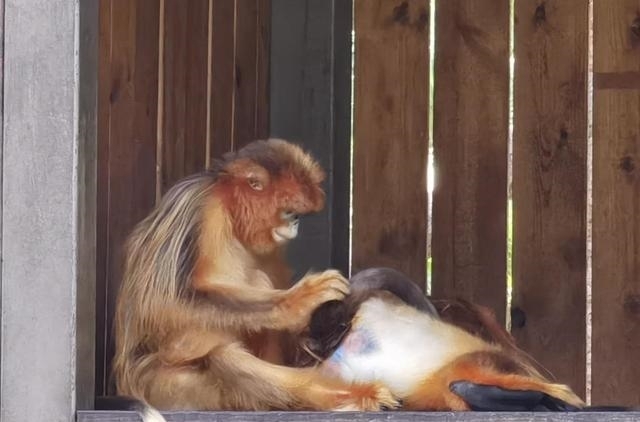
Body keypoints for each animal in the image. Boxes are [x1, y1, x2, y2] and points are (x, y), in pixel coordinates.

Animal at [112, 139, 398, 412]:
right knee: (221, 357)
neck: (228, 209)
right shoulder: (195, 206)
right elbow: (164, 301)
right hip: (168, 387)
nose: (295, 222)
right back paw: (347, 396)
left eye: (297, 213)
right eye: (289, 211)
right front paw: (298, 302)